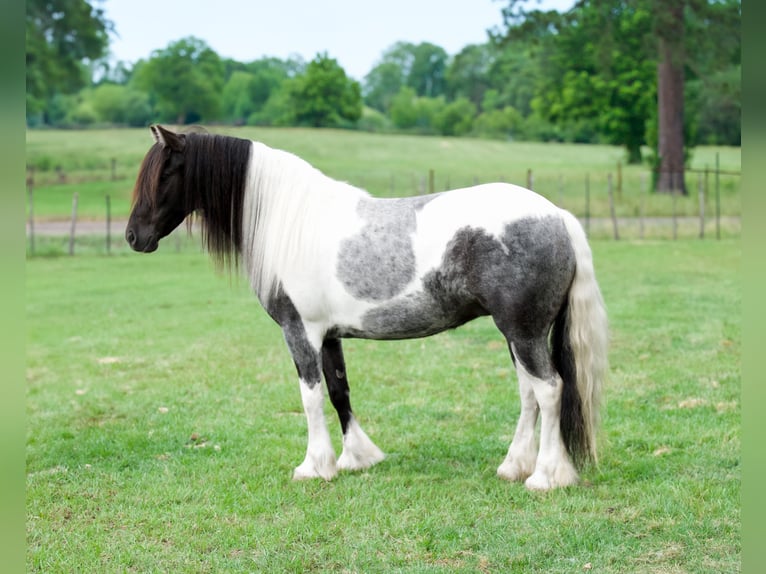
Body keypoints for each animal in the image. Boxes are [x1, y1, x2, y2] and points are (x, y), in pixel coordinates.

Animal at [126, 125, 608, 491]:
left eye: (165, 173)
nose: (133, 236)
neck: (293, 223)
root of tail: (558, 215)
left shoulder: (299, 330)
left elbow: (310, 396)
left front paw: (313, 466)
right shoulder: (329, 335)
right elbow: (339, 390)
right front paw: (356, 457)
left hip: (524, 331)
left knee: (549, 389)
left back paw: (546, 477)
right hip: (516, 333)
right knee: (529, 392)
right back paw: (514, 466)